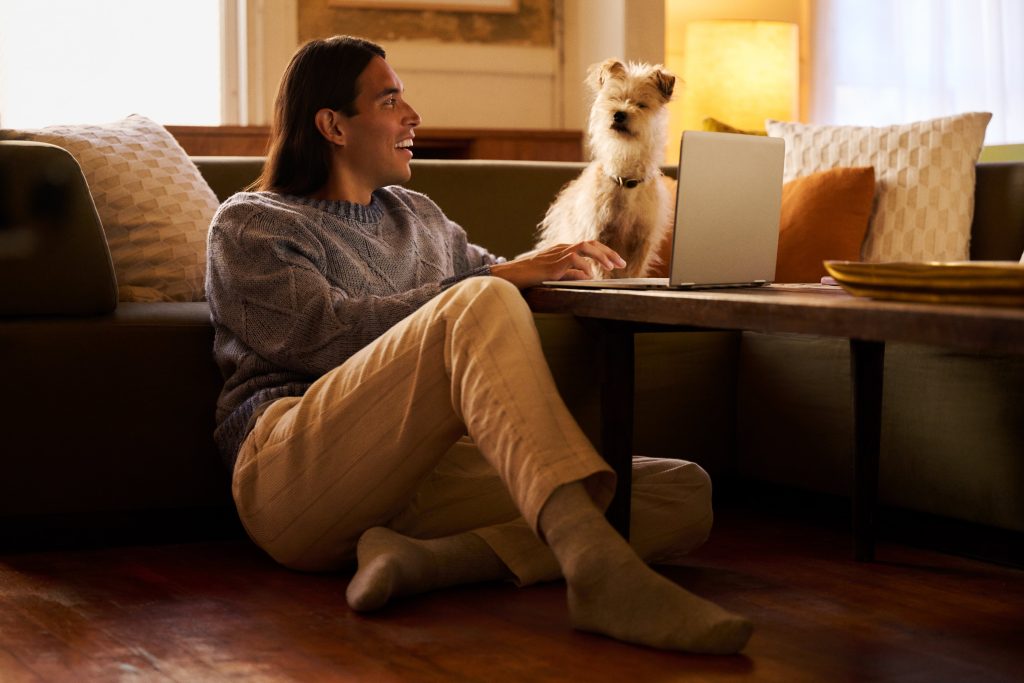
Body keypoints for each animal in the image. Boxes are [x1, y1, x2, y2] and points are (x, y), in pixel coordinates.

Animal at [532, 58, 675, 278]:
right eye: (613, 98)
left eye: (641, 105)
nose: (619, 114)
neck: (625, 179)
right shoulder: (598, 237)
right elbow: (601, 270)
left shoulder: (642, 242)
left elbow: (633, 273)